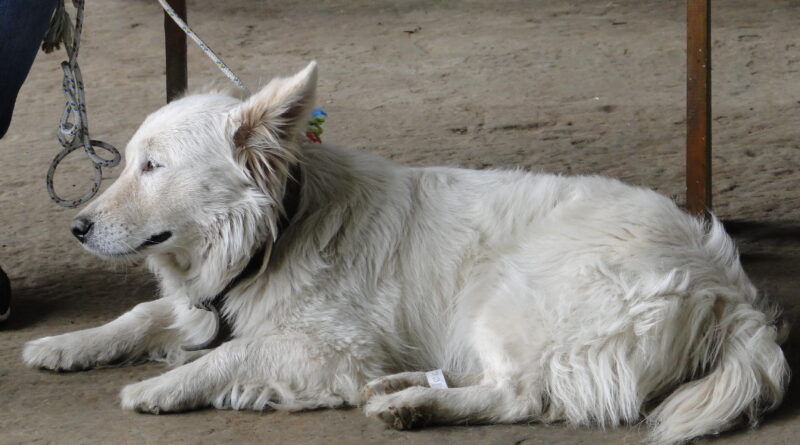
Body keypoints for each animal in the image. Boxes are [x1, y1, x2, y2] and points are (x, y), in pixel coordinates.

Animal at [21, 63, 792, 444]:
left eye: (153, 167)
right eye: (128, 162)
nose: (77, 228)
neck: (273, 233)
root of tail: (728, 289)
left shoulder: (328, 348)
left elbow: (232, 354)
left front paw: (162, 387)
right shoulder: (200, 306)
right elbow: (139, 318)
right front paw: (63, 346)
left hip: (502, 296)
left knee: (523, 394)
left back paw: (415, 405)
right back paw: (404, 388)